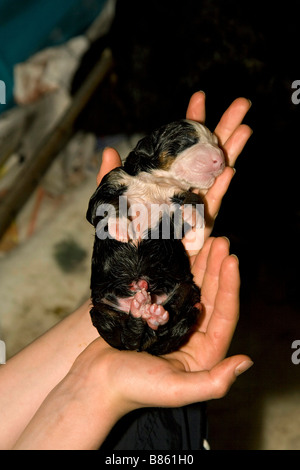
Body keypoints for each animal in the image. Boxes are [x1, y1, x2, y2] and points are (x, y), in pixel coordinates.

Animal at [85, 119, 224, 354]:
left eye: (216, 142)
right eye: (187, 140)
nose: (221, 159)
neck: (157, 181)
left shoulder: (177, 195)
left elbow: (192, 198)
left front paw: (193, 213)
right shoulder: (111, 181)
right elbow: (106, 205)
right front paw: (120, 228)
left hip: (187, 291)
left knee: (167, 329)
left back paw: (154, 315)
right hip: (101, 307)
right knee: (123, 339)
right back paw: (140, 311)